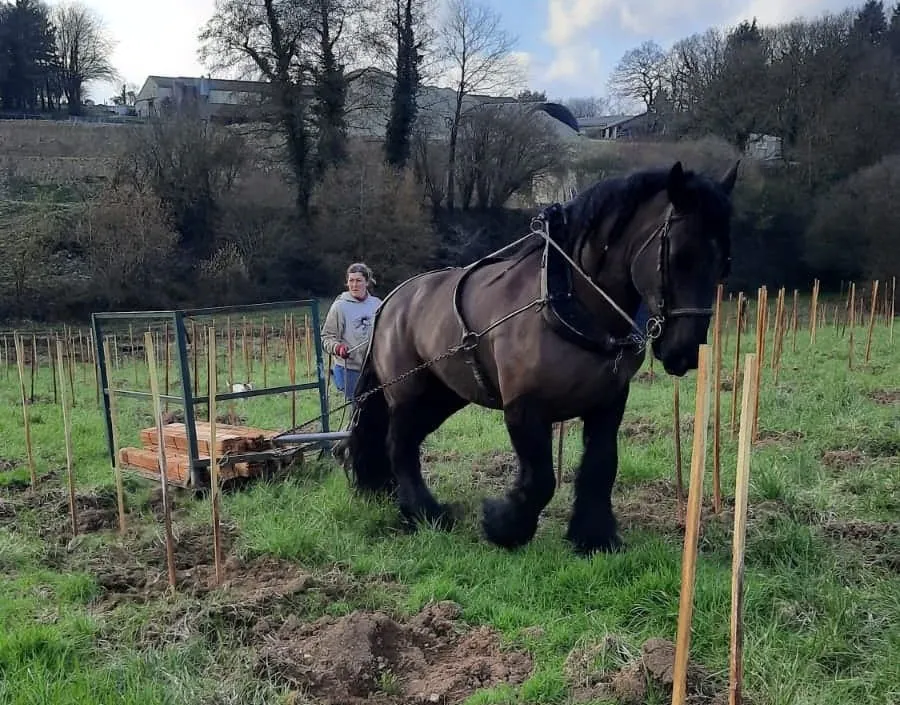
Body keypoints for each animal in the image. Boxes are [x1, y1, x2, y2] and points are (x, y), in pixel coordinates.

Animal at [344, 161, 740, 556]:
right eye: (680, 256)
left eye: (724, 262)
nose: (684, 352)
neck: (570, 303)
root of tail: (390, 302)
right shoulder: (524, 406)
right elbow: (540, 478)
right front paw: (502, 526)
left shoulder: (609, 402)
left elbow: (601, 466)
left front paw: (594, 537)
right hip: (407, 392)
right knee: (400, 444)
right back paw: (425, 513)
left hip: (443, 395)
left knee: (405, 440)